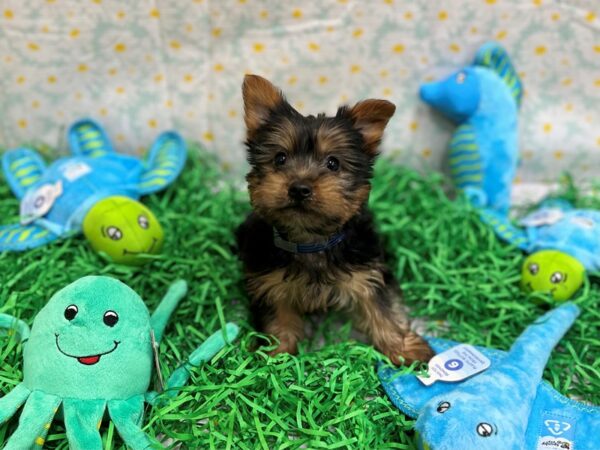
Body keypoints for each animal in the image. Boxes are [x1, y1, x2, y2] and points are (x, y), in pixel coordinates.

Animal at [236, 74, 436, 366]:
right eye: (280, 158)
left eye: (333, 163)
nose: (299, 188)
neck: (311, 239)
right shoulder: (269, 282)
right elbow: (278, 319)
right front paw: (276, 356)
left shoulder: (367, 272)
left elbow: (382, 308)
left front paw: (402, 348)